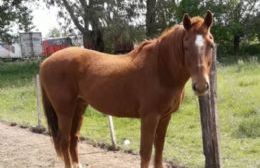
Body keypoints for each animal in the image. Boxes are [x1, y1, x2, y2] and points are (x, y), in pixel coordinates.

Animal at [40, 11, 214, 168]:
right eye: (186, 46)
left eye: (211, 45)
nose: (201, 86)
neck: (160, 69)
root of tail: (45, 63)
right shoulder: (150, 117)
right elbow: (146, 153)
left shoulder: (165, 117)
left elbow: (159, 151)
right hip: (64, 111)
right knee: (65, 141)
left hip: (79, 107)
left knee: (73, 138)